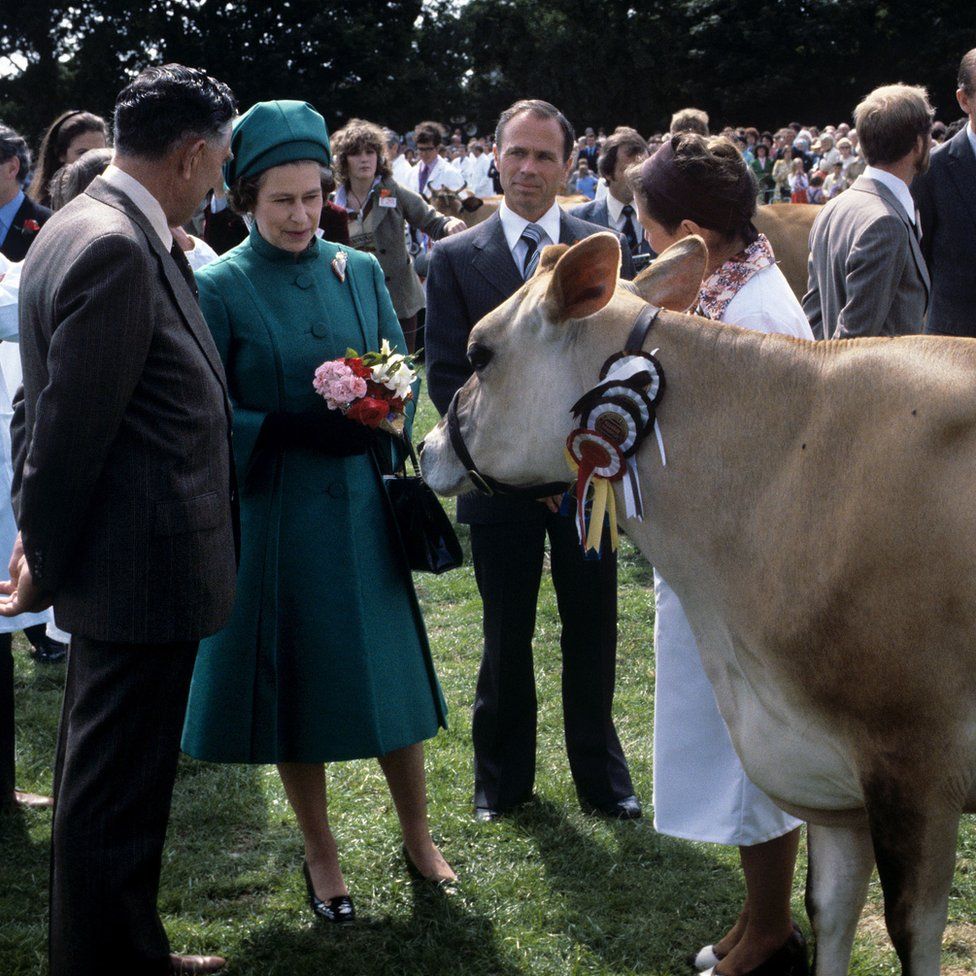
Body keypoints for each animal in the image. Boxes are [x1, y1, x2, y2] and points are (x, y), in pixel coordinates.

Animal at [422, 233, 976, 972]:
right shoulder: (827, 771)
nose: (423, 448)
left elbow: (911, 929)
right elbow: (829, 909)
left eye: (481, 354)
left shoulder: (915, 762)